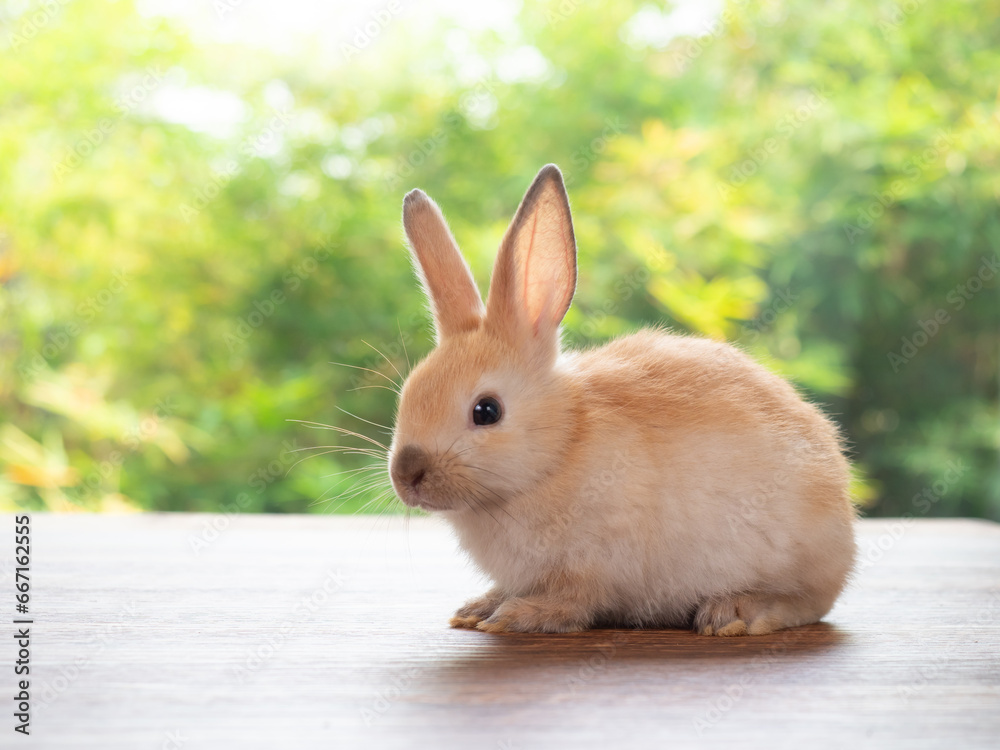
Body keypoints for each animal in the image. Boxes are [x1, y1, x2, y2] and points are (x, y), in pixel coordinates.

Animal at [387, 163, 856, 636]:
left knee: (807, 602)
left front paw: (518, 616)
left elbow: (573, 601)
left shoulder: (594, 566)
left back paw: (736, 613)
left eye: (486, 411)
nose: (406, 474)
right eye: (406, 394)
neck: (558, 451)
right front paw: (478, 609)